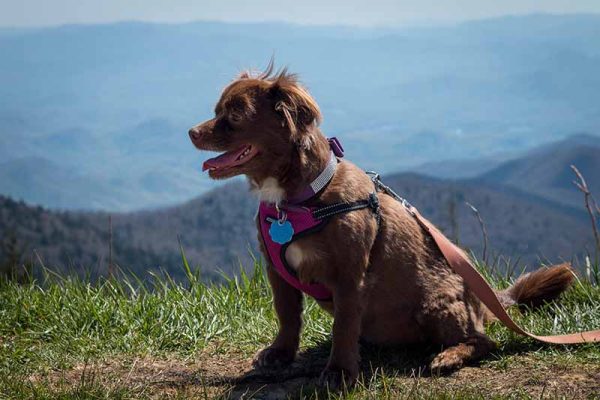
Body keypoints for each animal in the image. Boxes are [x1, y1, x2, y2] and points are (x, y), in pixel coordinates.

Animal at [190, 65, 576, 388]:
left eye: (234, 115)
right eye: (216, 110)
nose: (192, 132)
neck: (301, 198)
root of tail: (485, 300)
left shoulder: (349, 276)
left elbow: (344, 324)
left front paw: (339, 372)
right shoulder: (277, 272)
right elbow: (287, 316)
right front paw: (281, 354)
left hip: (437, 303)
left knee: (483, 340)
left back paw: (449, 356)